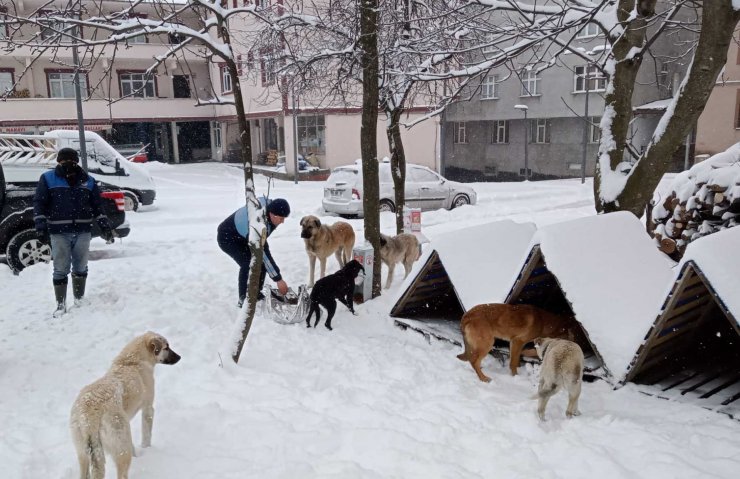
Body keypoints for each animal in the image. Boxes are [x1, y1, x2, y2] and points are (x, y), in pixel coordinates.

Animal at [69, 332, 181, 479]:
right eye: (166, 348)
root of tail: (88, 416)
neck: (131, 362)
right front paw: (146, 449)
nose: (180, 357)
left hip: (83, 452)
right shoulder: (148, 409)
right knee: (122, 473)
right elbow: (147, 435)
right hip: (120, 447)